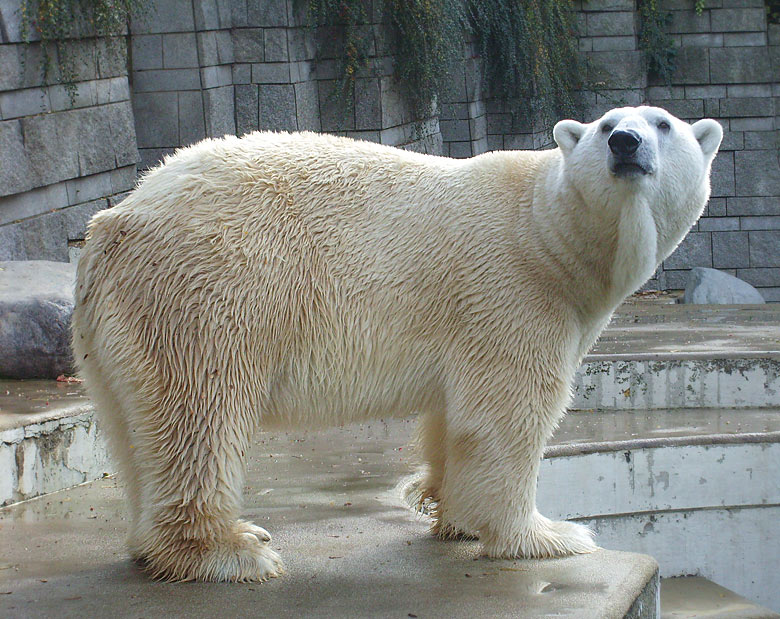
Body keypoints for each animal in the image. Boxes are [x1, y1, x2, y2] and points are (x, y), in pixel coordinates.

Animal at [70, 105, 724, 580]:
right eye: (608, 125)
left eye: (662, 123)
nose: (626, 144)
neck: (545, 231)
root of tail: (114, 221)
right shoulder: (513, 288)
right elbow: (506, 415)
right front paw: (547, 535)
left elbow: (453, 417)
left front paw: (455, 515)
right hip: (211, 288)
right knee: (202, 412)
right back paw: (231, 550)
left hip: (121, 322)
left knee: (135, 424)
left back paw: (160, 542)